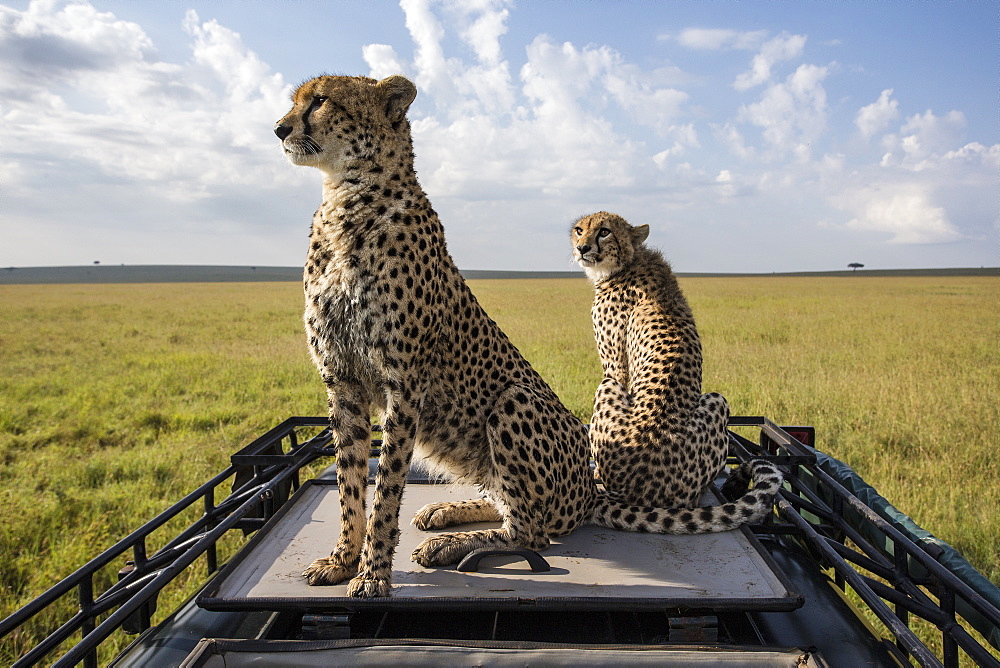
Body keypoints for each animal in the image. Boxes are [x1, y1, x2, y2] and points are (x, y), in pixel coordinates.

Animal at [572, 213, 780, 528]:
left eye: (604, 232)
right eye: (579, 230)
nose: (582, 248)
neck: (628, 262)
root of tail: (644, 491)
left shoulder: (615, 368)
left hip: (702, 398)